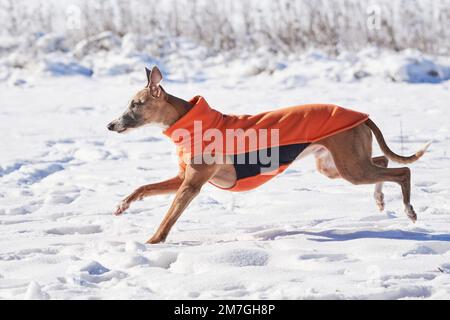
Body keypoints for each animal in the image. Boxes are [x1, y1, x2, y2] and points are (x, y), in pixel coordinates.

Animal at [107, 66, 430, 244]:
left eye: (135, 104)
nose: (110, 125)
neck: (189, 122)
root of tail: (363, 117)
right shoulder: (182, 178)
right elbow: (143, 187)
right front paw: (123, 205)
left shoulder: (191, 185)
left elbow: (168, 218)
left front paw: (152, 242)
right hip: (338, 165)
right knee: (383, 161)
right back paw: (379, 199)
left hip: (350, 167)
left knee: (403, 171)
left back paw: (409, 210)